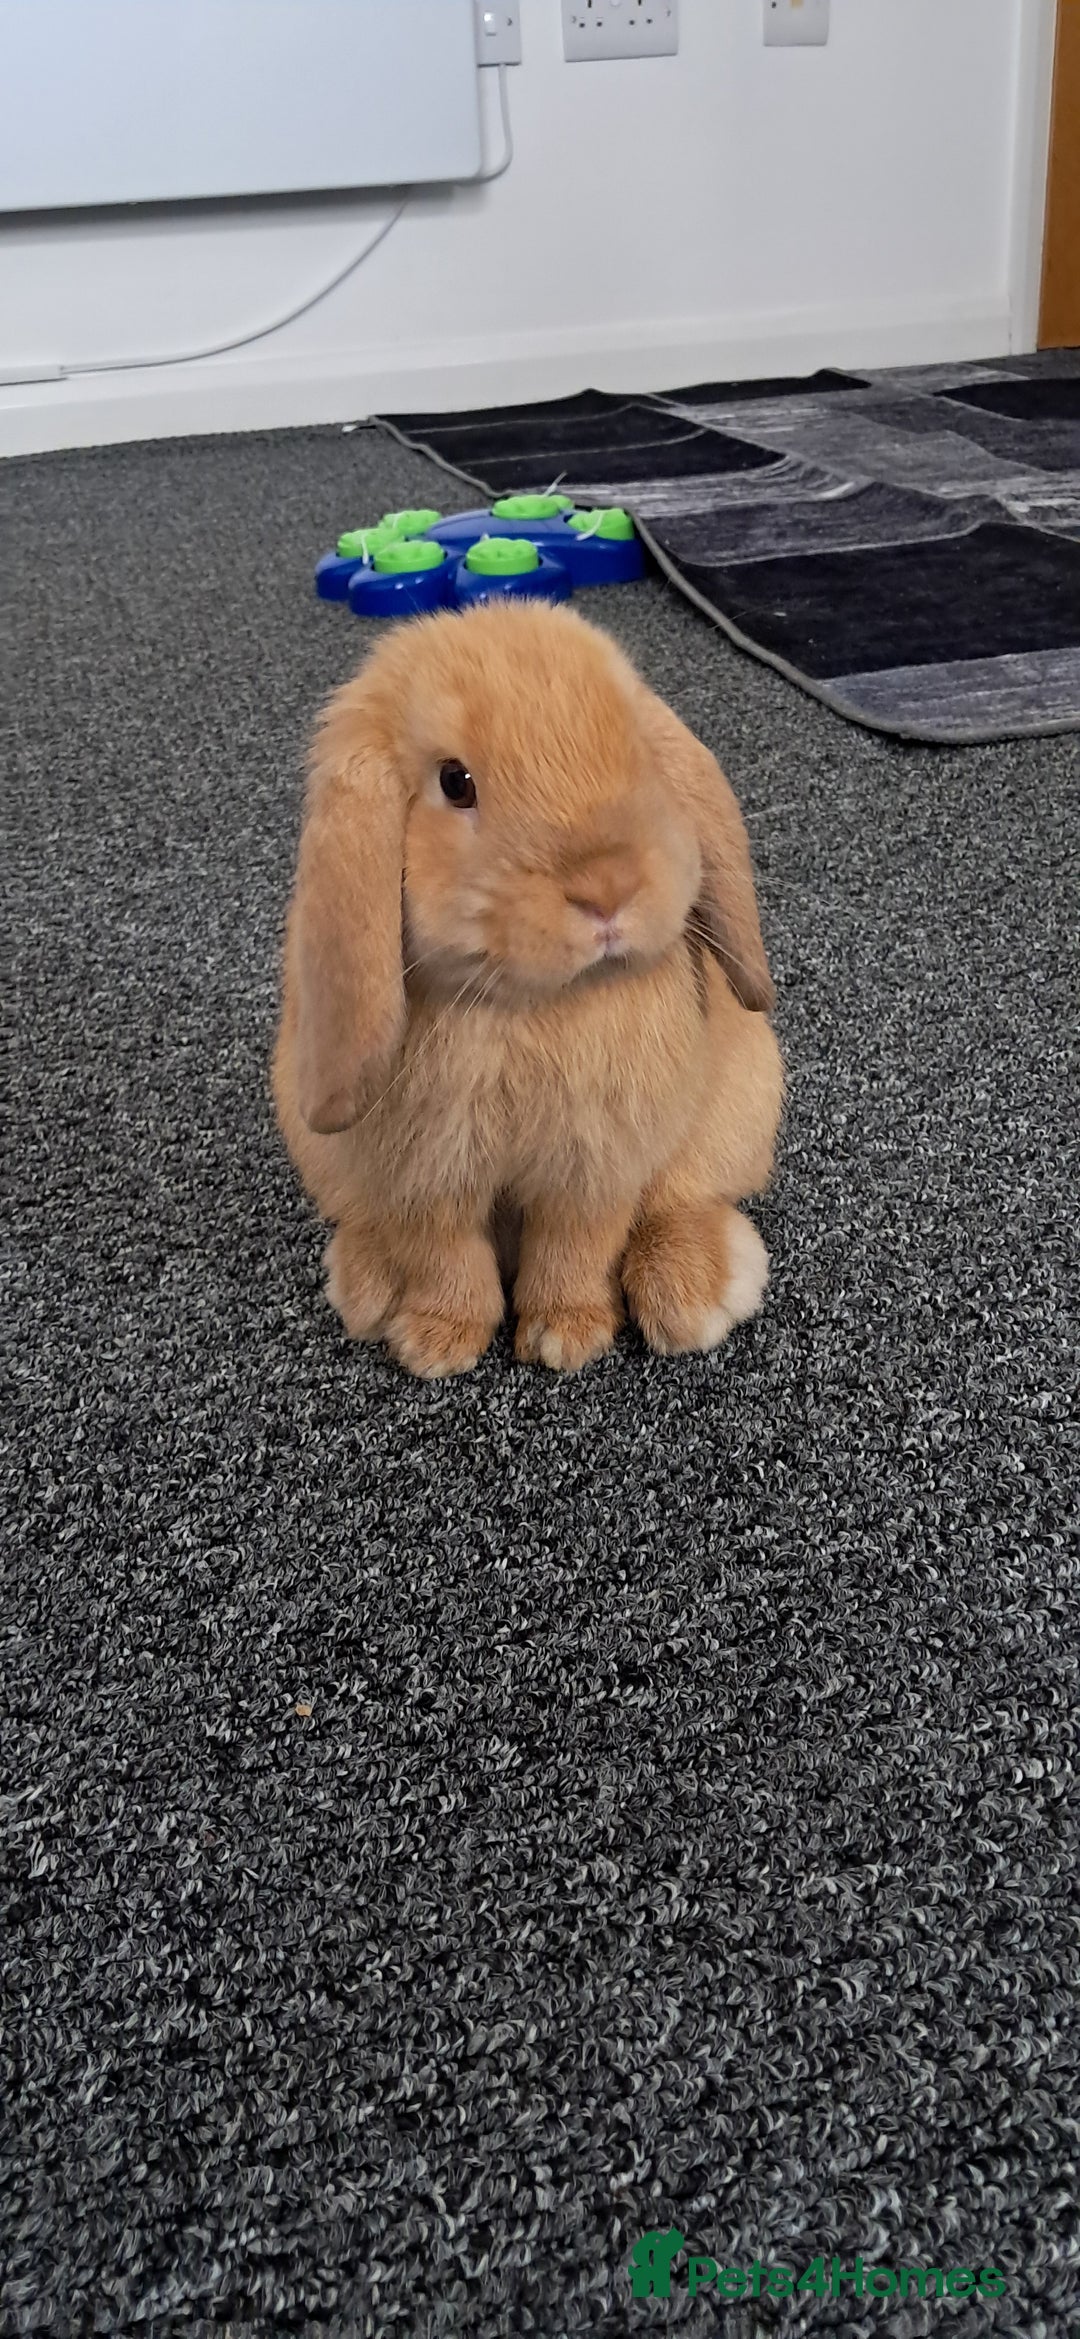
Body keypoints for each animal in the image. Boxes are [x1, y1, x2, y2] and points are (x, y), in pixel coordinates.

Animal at [273, 598, 783, 1379]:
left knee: (680, 1200)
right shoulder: (420, 1176)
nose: (607, 886)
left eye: (638, 750)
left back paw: (694, 1295)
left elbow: (577, 1243)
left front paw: (563, 1337)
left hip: (737, 1113)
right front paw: (438, 1343)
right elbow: (444, 1255)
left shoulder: (595, 1166)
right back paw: (367, 1286)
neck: (525, 1009)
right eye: (455, 782)